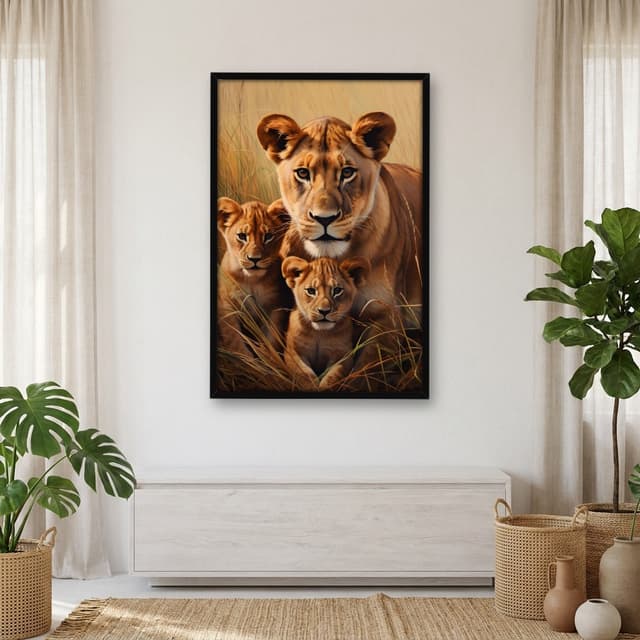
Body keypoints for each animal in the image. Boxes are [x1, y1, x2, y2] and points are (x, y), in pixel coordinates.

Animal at [217, 197, 290, 354]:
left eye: (268, 236)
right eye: (242, 236)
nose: (254, 259)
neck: (252, 280)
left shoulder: (276, 307)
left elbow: (272, 341)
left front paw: (269, 359)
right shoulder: (227, 309)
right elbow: (236, 344)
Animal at [281, 256, 370, 391]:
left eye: (337, 290)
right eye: (311, 291)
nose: (324, 311)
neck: (319, 333)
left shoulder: (343, 356)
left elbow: (333, 377)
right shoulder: (293, 352)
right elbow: (304, 374)